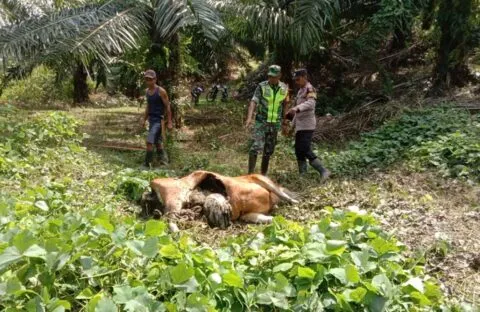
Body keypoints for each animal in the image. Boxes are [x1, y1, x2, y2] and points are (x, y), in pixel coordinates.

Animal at [139, 171, 298, 229]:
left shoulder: (248, 215)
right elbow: (282, 193)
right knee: (169, 218)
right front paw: (294, 202)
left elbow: (271, 218)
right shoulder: (257, 176)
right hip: (175, 199)